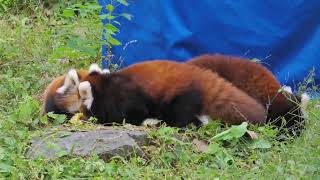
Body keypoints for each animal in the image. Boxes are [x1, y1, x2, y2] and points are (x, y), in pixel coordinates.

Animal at [79, 61, 266, 128]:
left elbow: (133, 113)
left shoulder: (126, 96)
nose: (84, 117)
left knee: (180, 114)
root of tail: (199, 75)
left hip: (181, 95)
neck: (106, 86)